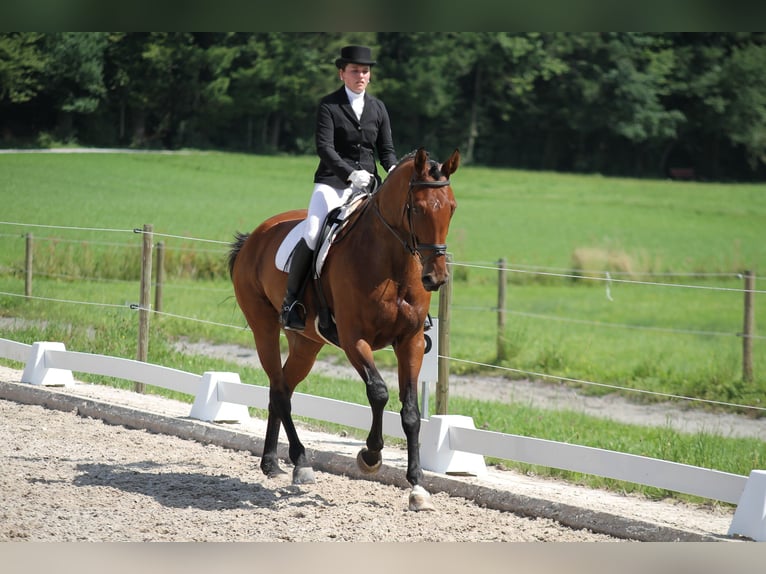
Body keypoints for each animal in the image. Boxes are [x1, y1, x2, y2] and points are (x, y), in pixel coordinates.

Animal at [225, 148, 460, 512]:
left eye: (451, 207)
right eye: (418, 208)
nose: (435, 278)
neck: (391, 263)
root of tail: (254, 237)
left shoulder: (410, 341)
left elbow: (410, 411)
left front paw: (417, 487)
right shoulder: (353, 339)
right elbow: (378, 392)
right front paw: (370, 456)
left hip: (306, 344)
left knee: (282, 389)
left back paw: (272, 463)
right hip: (263, 328)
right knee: (279, 390)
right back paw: (301, 463)